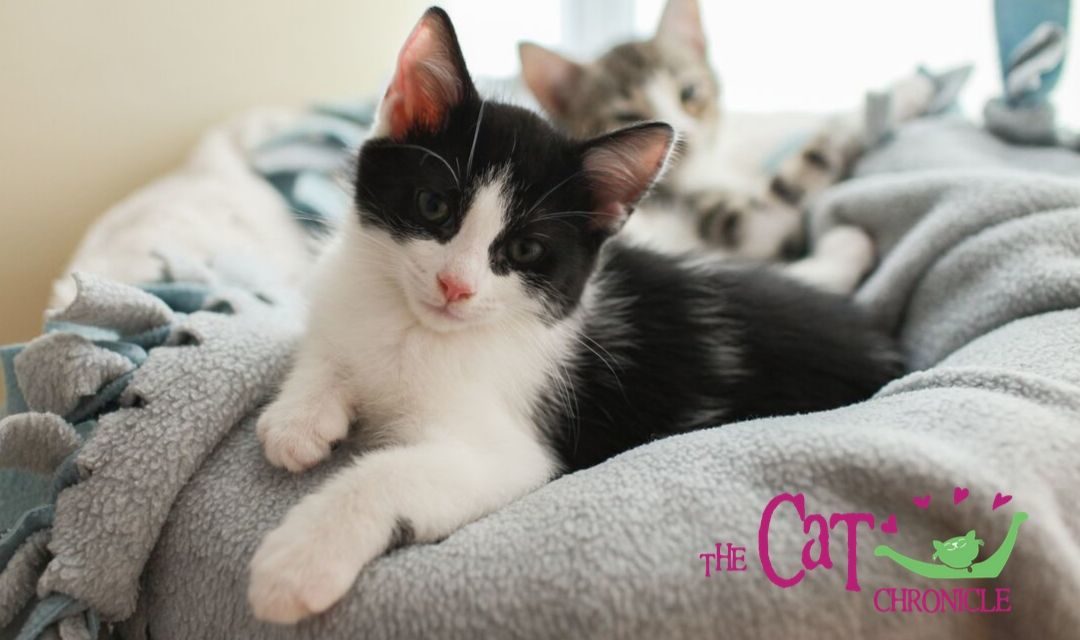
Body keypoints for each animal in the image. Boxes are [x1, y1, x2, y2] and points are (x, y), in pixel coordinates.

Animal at [247, 6, 902, 625]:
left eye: (524, 251)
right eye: (433, 206)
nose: (455, 285)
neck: (412, 326)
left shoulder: (514, 452)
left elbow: (388, 475)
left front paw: (297, 562)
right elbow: (326, 343)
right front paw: (299, 419)